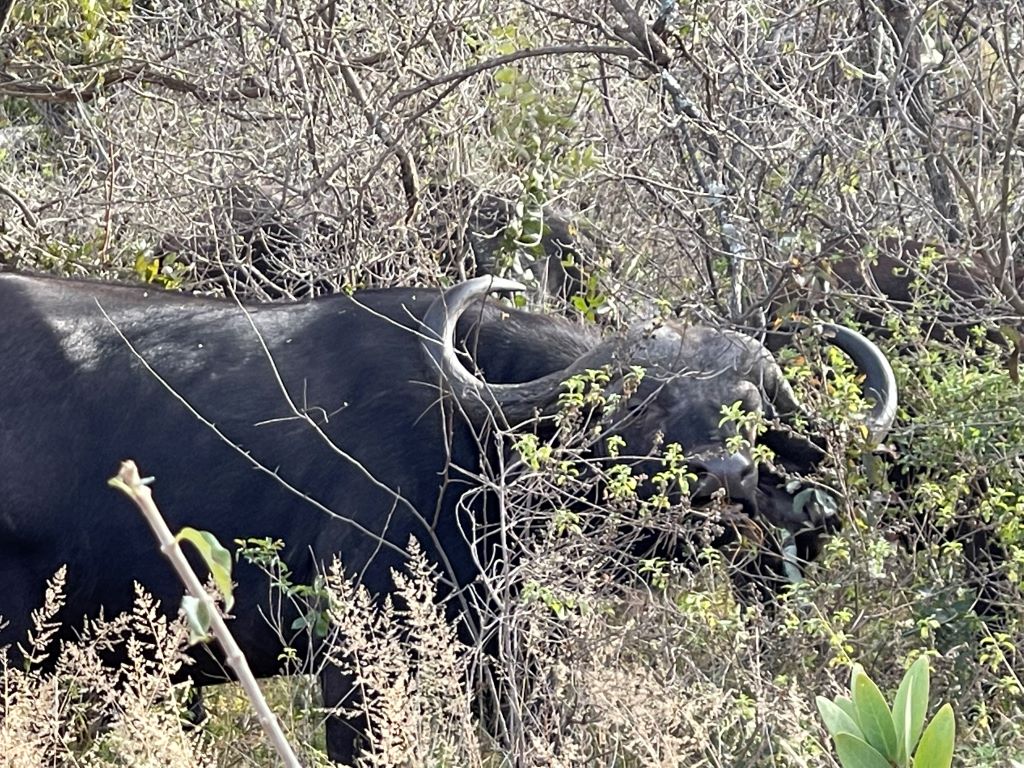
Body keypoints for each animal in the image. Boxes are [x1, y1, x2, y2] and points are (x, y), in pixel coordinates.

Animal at [0, 270, 897, 765]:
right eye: (637, 404)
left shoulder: (506, 661)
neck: (477, 445)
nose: (722, 477)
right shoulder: (354, 663)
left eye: (751, 411)